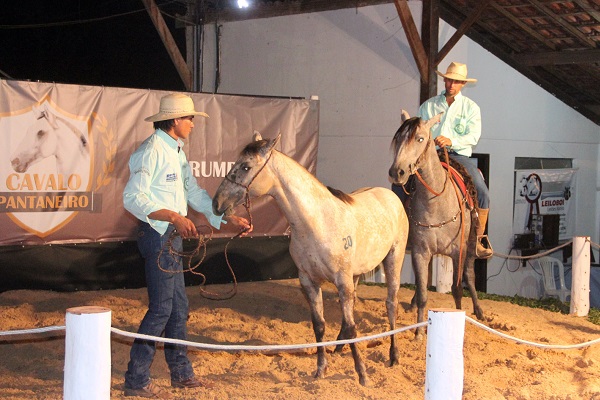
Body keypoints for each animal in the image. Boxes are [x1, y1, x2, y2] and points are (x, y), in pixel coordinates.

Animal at [390, 111, 482, 340]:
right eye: (398, 139)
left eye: (420, 138)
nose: (397, 172)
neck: (436, 202)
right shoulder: (421, 252)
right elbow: (424, 292)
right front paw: (419, 333)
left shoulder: (458, 250)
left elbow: (457, 289)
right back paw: (413, 304)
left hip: (471, 247)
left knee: (470, 275)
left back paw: (479, 310)